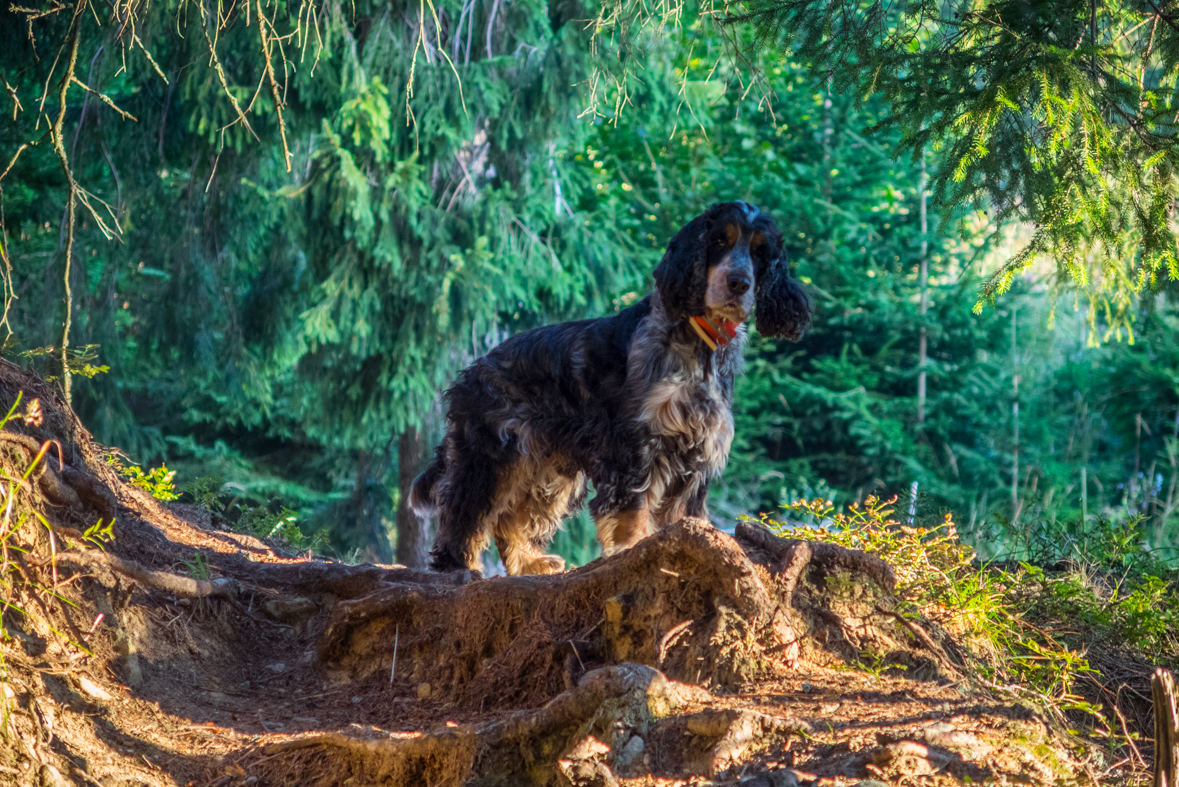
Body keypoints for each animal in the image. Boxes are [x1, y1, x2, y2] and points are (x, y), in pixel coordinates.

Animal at [407, 200, 811, 574]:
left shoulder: (696, 447)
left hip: (547, 469)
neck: (699, 346)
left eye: (760, 252)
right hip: (489, 455)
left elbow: (681, 511)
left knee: (511, 519)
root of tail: (471, 373)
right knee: (463, 511)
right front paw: (632, 547)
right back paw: (460, 566)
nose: (739, 283)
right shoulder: (635, 440)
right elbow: (633, 504)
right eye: (718, 241)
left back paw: (530, 562)